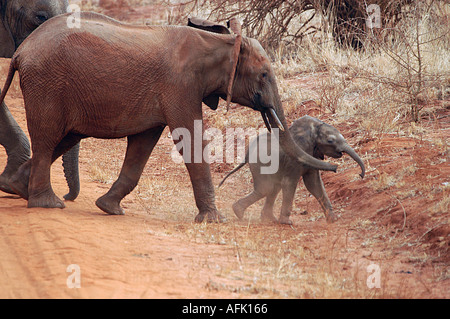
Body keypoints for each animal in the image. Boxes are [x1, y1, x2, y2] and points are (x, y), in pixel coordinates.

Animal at [219, 115, 366, 225]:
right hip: (260, 164)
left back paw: (268, 218)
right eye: (330, 140)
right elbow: (290, 183)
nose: (360, 174)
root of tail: (248, 151)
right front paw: (286, 222)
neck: (312, 127)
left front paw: (333, 220)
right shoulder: (295, 158)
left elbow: (314, 185)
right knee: (266, 188)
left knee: (273, 188)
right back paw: (238, 212)